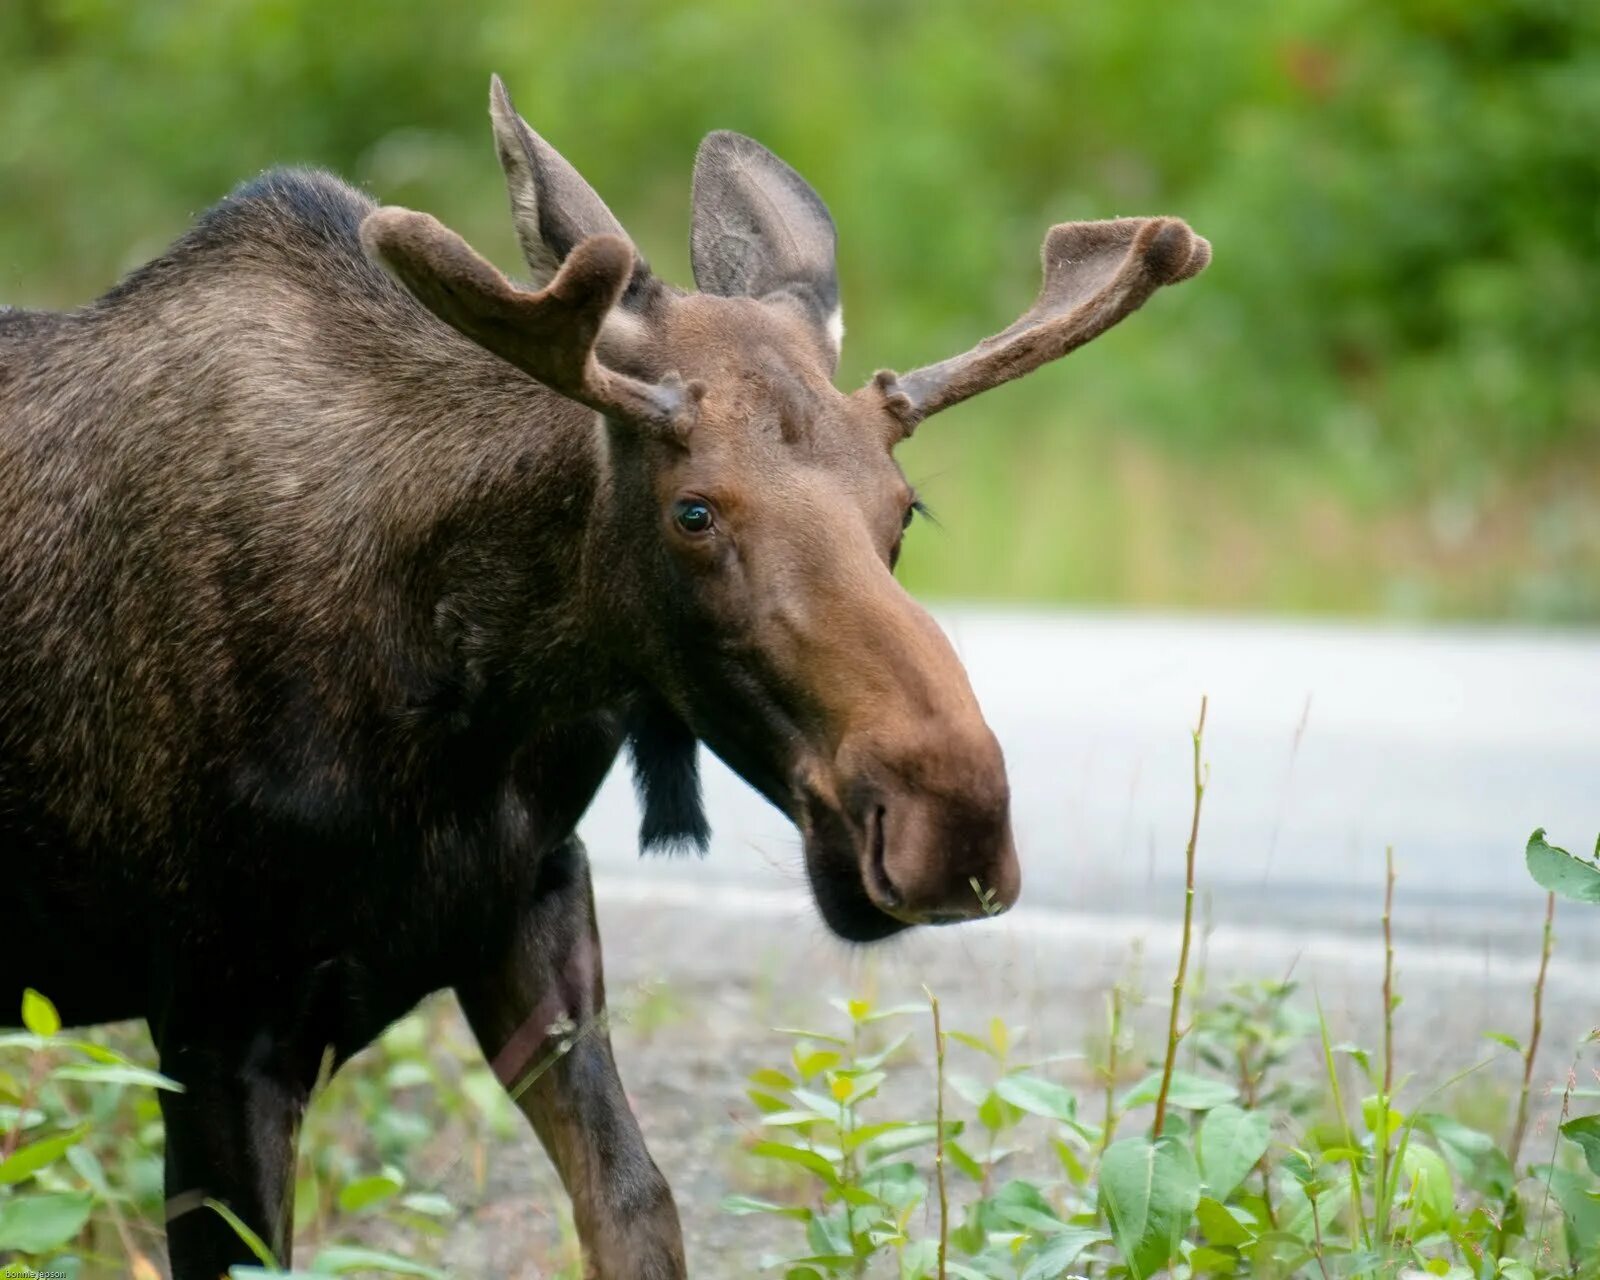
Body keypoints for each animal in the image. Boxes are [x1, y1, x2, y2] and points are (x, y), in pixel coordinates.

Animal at [0, 75, 1203, 1273]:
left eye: (904, 510)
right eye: (693, 510)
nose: (950, 825)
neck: (465, 701)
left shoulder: (533, 904)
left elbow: (634, 1203)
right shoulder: (214, 1010)